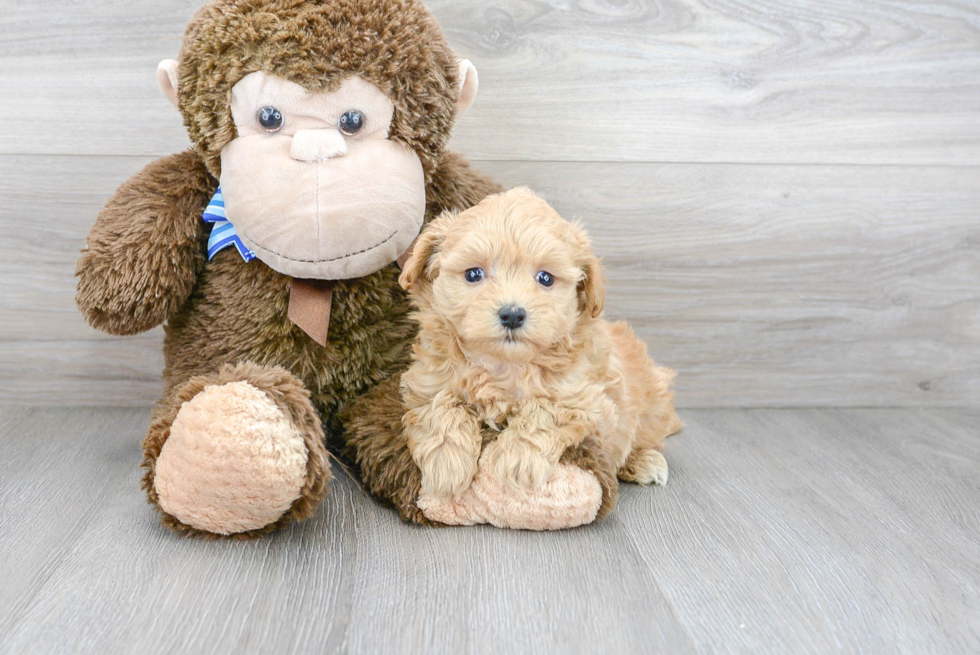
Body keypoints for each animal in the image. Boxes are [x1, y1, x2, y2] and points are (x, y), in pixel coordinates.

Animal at [398, 188, 680, 498]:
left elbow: (545, 407)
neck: (504, 365)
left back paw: (644, 461)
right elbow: (441, 403)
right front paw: (446, 462)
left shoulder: (590, 402)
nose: (512, 314)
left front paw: (519, 459)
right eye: (473, 274)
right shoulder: (427, 382)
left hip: (651, 406)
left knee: (642, 437)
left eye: (545, 278)